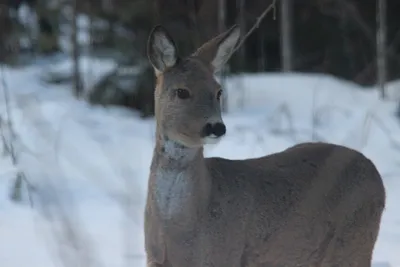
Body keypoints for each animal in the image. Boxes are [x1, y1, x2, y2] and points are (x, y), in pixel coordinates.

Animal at [144, 24, 384, 266]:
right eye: (181, 92)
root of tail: (377, 176)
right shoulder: (153, 258)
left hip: (354, 240)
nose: (216, 127)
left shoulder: (226, 254)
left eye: (219, 91)